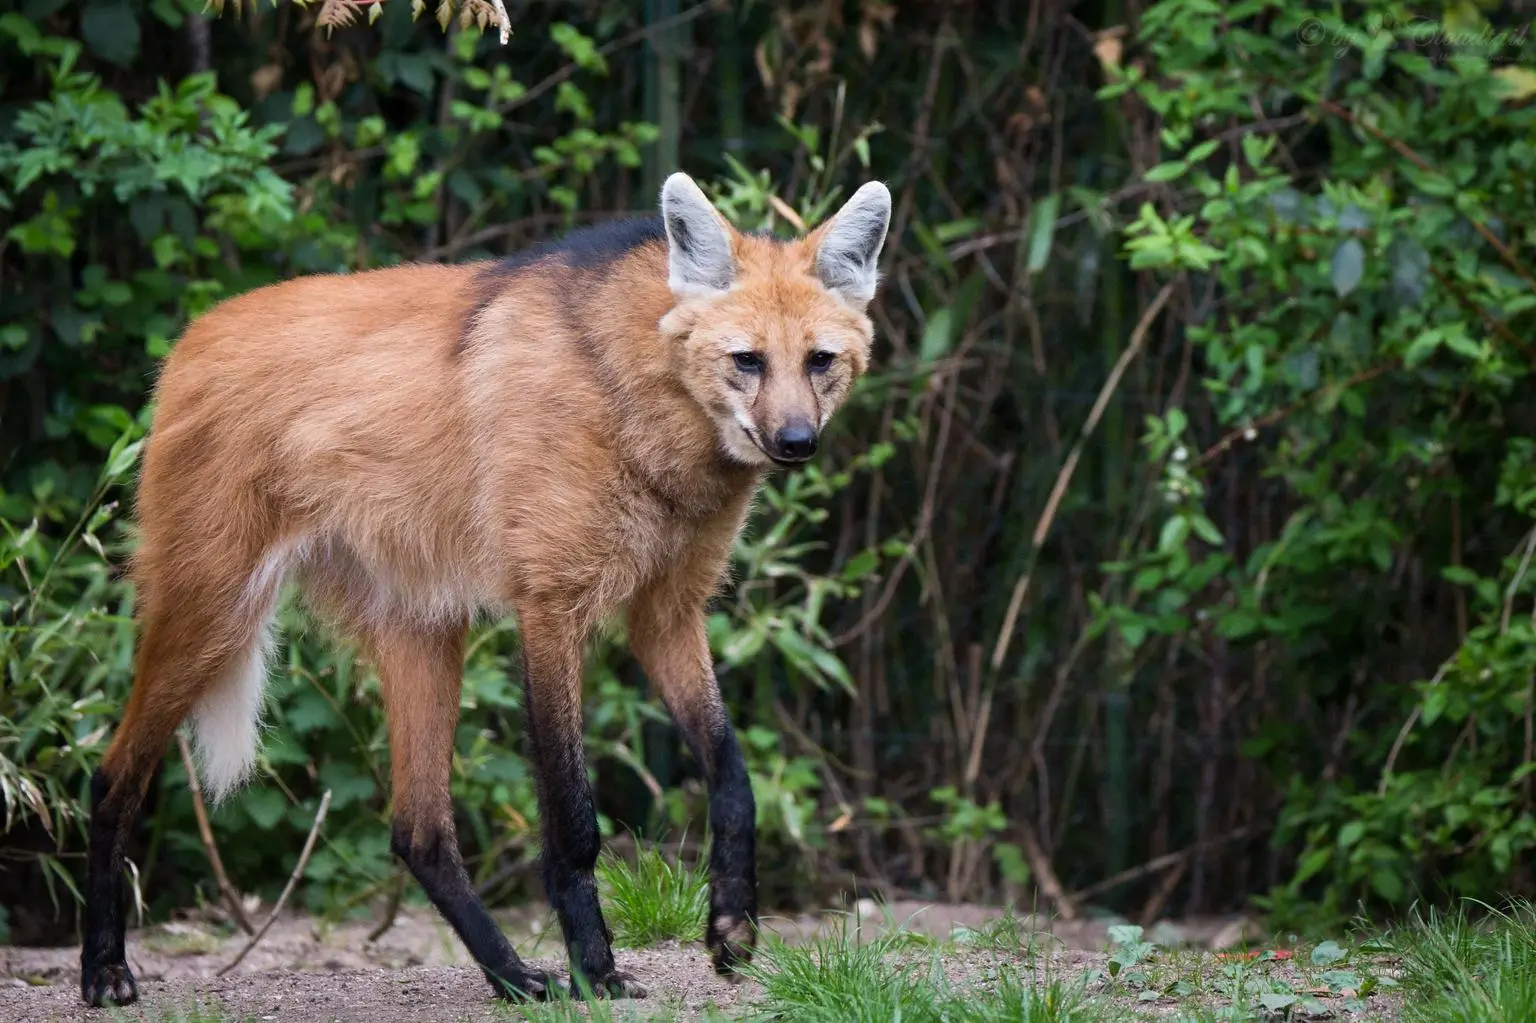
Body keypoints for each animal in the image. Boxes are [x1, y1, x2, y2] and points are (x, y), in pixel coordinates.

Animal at [84, 168, 897, 1001]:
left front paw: (731, 927)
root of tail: (189, 338)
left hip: (423, 628)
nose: (796, 441)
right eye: (747, 360)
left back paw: (512, 976)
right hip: (214, 612)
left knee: (418, 830)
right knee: (113, 780)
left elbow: (733, 776)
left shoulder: (667, 611)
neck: (639, 399)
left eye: (820, 360)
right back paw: (105, 968)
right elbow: (573, 821)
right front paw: (597, 970)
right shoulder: (551, 608)